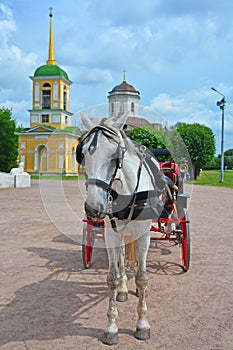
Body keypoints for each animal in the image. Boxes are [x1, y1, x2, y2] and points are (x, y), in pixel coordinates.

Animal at [78, 113, 164, 344]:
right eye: (82, 154)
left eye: (115, 155)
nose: (93, 208)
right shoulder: (111, 235)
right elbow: (112, 278)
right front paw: (111, 327)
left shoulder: (143, 235)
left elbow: (142, 278)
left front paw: (142, 324)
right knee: (123, 257)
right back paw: (124, 289)